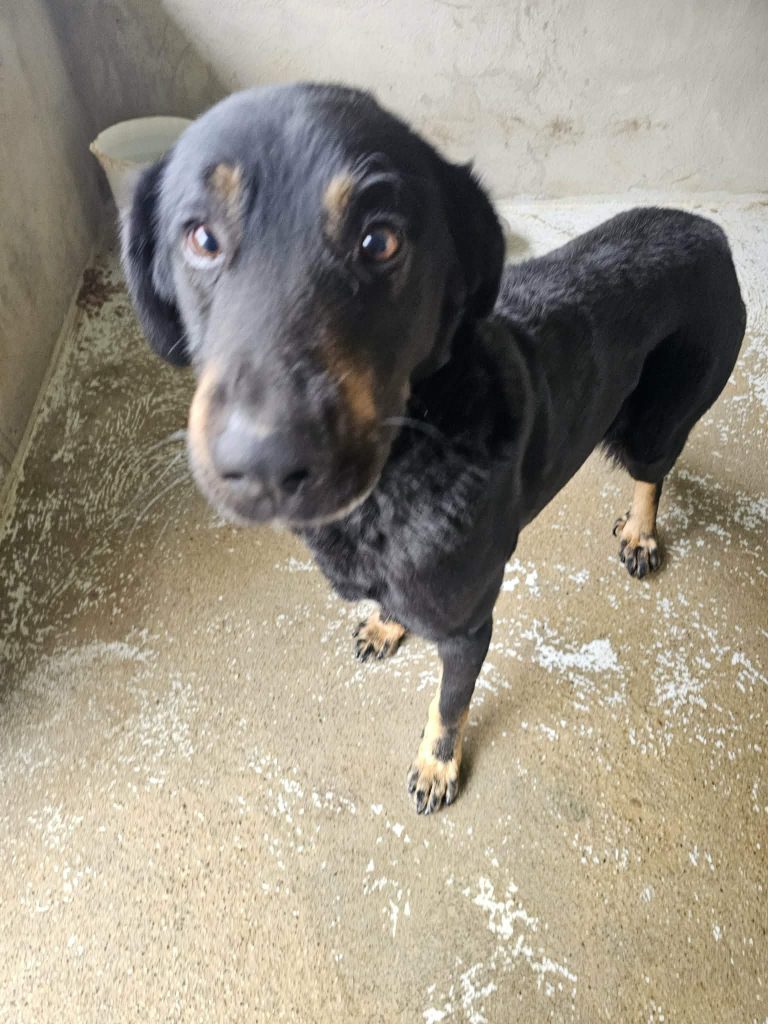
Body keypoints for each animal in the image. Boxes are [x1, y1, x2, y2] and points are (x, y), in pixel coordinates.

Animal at [121, 84, 746, 814]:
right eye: (201, 238)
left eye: (379, 240)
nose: (264, 462)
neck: (400, 474)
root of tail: (711, 232)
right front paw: (387, 623)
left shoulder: (469, 626)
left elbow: (449, 705)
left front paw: (438, 764)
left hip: (658, 418)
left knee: (655, 469)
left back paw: (641, 530)